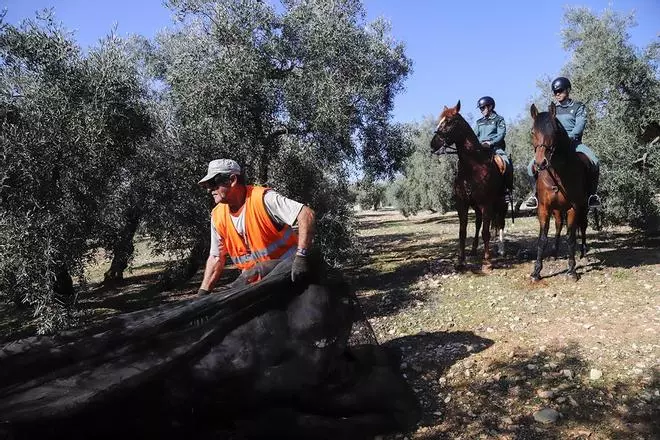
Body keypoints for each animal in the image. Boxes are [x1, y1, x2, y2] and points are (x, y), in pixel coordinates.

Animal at [430, 101, 508, 270]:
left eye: (449, 121)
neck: (474, 166)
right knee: (479, 223)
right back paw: (473, 249)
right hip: (477, 207)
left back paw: (501, 249)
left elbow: (486, 232)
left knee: (500, 223)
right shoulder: (463, 204)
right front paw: (460, 261)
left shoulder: (486, 204)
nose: (433, 144)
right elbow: (463, 231)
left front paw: (487, 262)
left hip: (500, 203)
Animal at [528, 104, 592, 280]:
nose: (540, 163)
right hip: (556, 210)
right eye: (532, 131)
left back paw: (583, 252)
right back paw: (555, 253)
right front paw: (536, 271)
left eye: (555, 131)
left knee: (583, 226)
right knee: (558, 226)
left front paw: (572, 270)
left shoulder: (573, 208)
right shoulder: (544, 208)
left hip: (584, 208)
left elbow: (570, 238)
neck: (557, 174)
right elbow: (542, 239)